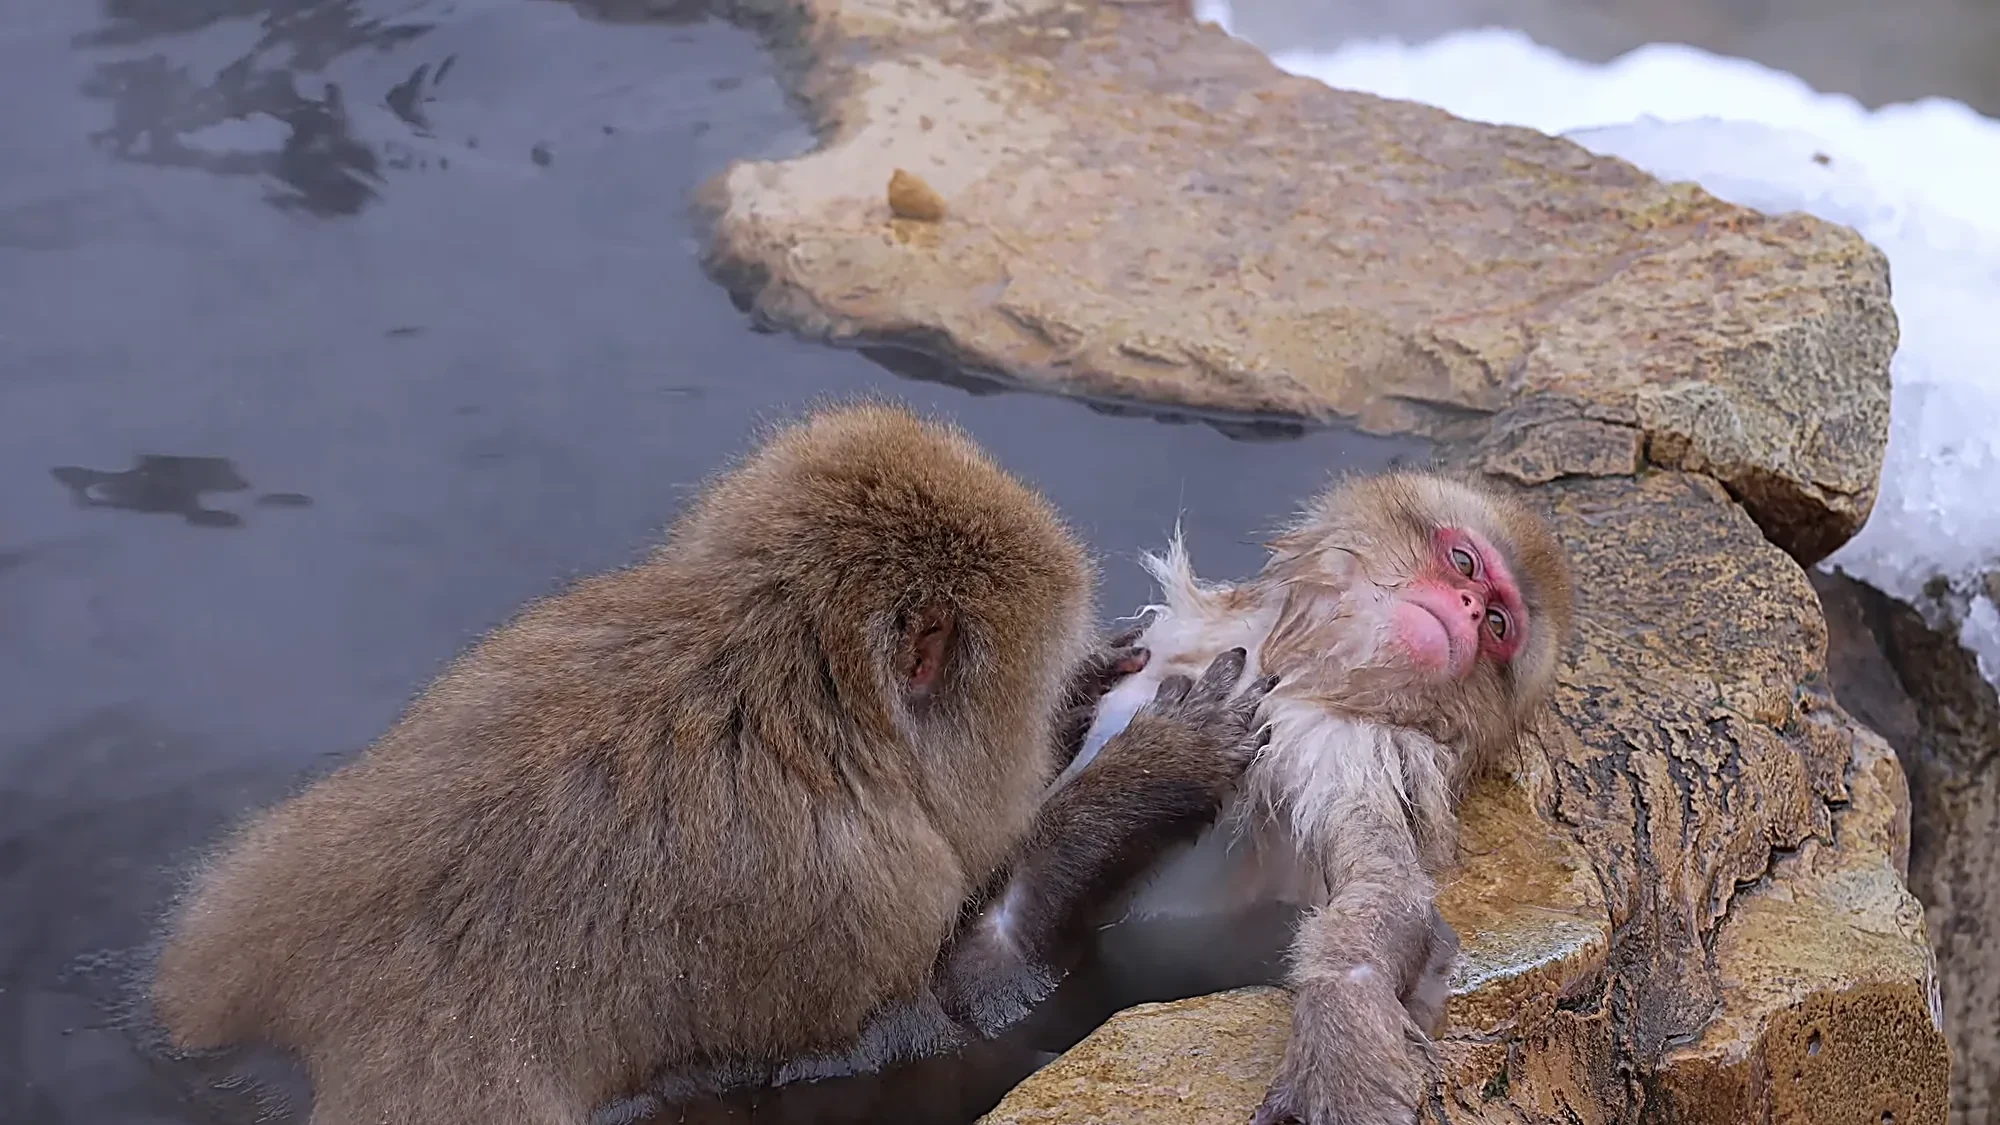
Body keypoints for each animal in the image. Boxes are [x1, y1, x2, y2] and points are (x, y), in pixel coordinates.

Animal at [1064, 470, 1576, 1125]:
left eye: (1496, 625)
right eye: (1464, 563)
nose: (1466, 609)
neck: (1299, 664)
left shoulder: (1335, 745)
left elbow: (1384, 892)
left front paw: (1340, 1036)